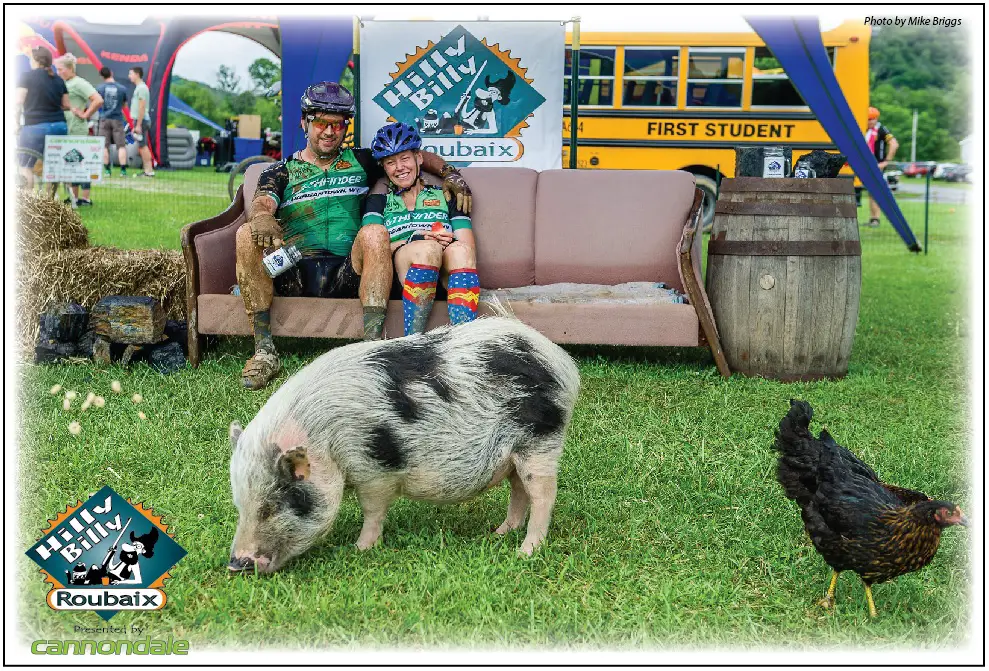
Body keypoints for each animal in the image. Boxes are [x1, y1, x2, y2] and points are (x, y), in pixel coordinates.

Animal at [228, 316, 580, 572]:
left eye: (271, 507)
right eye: (240, 504)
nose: (235, 564)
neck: (323, 441)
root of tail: (561, 361)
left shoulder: (374, 469)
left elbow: (373, 510)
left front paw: (360, 549)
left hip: (542, 440)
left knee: (544, 494)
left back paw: (526, 552)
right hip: (515, 453)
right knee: (519, 489)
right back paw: (499, 533)